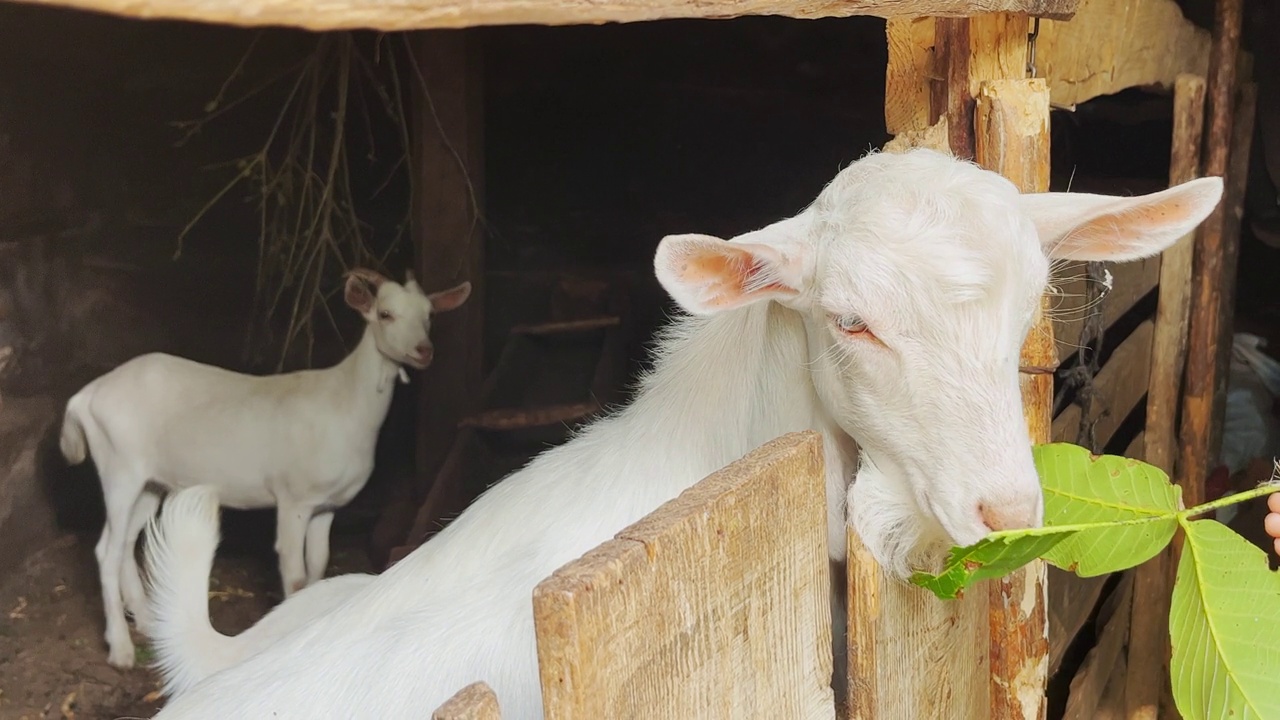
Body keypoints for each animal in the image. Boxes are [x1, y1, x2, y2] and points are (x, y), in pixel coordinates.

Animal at [60, 266, 471, 666]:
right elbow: (295, 574)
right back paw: (121, 649)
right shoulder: (294, 499)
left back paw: (146, 623)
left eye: (429, 316)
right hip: (119, 469)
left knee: (127, 541)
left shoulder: (326, 506)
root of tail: (85, 397)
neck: (345, 405)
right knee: (107, 550)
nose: (423, 350)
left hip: (151, 482)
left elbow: (318, 566)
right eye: (385, 314)